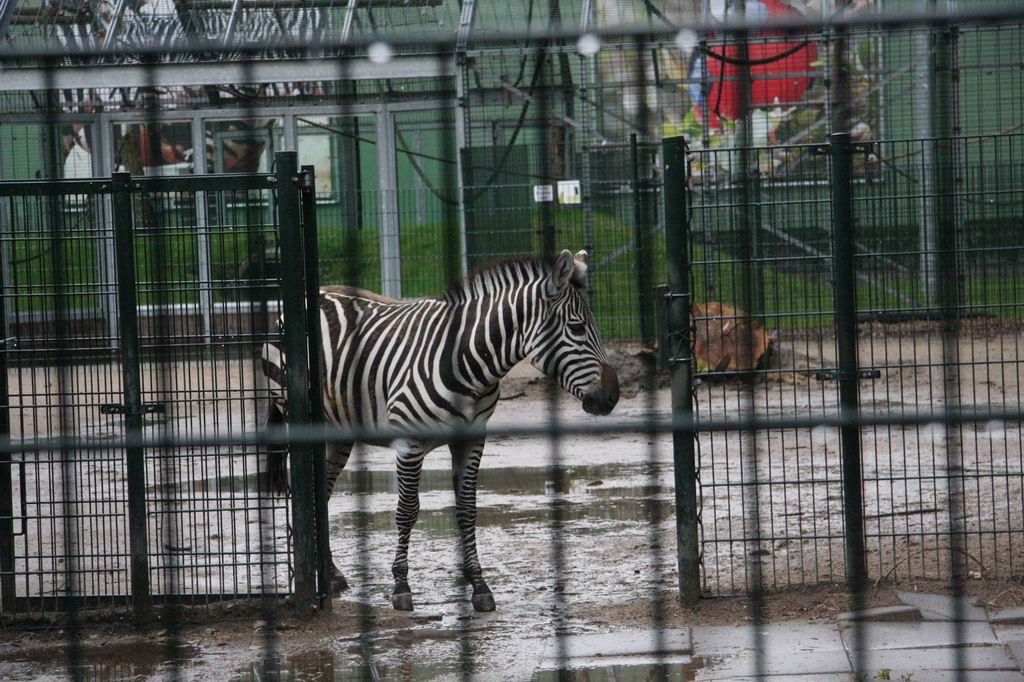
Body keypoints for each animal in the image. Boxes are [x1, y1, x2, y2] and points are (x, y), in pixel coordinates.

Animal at [262, 249, 620, 612]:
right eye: (577, 327)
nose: (612, 397)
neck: (471, 363)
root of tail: (311, 295)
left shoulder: (472, 439)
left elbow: (467, 510)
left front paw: (478, 584)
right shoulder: (409, 442)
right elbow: (407, 511)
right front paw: (401, 586)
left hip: (338, 431)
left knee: (321, 493)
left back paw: (331, 576)